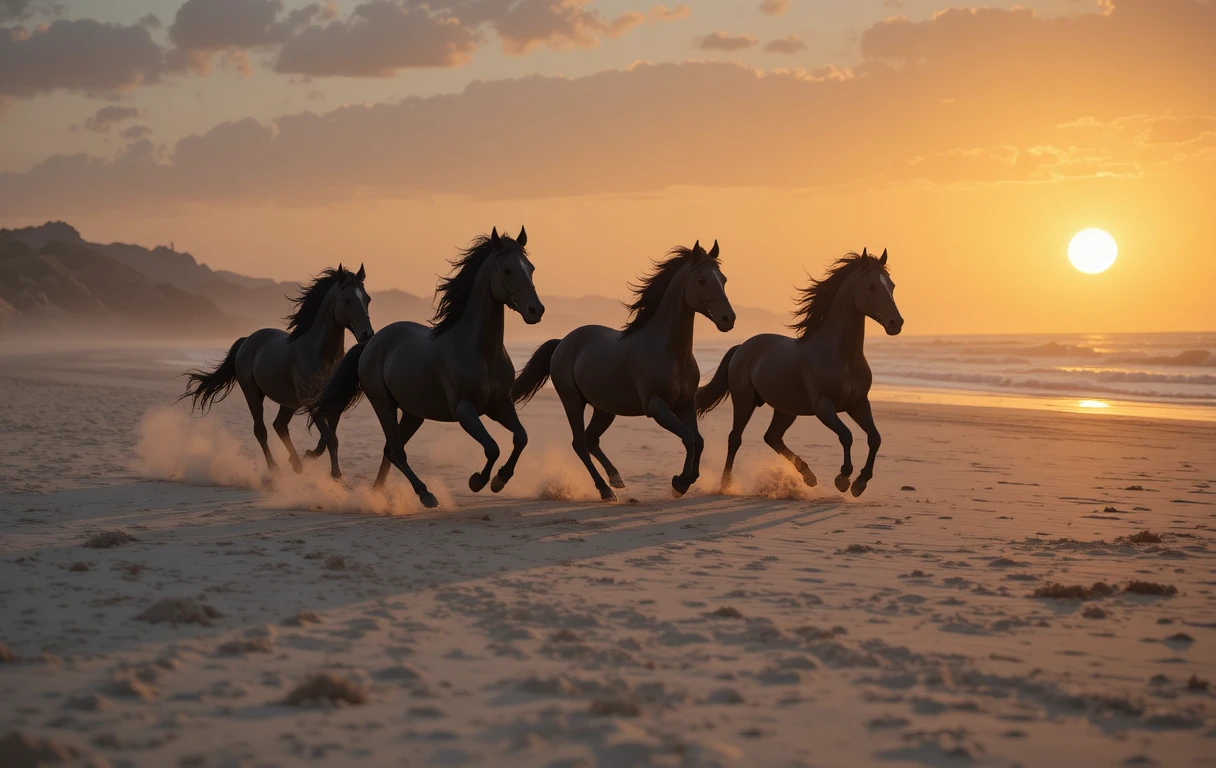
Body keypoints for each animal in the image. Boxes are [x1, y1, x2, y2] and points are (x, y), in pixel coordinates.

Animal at [180, 264, 373, 479]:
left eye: (367, 299)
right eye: (346, 300)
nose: (367, 334)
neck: (319, 354)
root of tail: (247, 340)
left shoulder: (333, 404)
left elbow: (327, 438)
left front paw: (310, 455)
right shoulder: (311, 402)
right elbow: (330, 437)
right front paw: (336, 474)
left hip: (288, 402)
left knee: (279, 425)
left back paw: (296, 463)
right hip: (253, 393)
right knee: (261, 430)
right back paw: (275, 470)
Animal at [308, 227, 542, 508]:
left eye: (530, 268)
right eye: (506, 270)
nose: (536, 310)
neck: (481, 352)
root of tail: (371, 342)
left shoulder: (500, 405)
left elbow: (521, 437)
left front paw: (500, 479)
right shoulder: (464, 410)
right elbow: (492, 447)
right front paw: (478, 481)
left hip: (413, 413)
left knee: (390, 450)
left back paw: (377, 494)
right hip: (383, 403)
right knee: (397, 451)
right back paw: (425, 494)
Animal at [512, 240, 735, 500]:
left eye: (723, 279)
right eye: (701, 280)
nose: (728, 319)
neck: (670, 352)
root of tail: (563, 342)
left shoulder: (686, 403)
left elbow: (698, 440)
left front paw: (685, 481)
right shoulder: (656, 406)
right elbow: (688, 438)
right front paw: (679, 483)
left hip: (605, 408)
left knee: (591, 439)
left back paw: (616, 478)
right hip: (572, 401)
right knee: (579, 443)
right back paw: (606, 490)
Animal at [696, 249, 903, 498]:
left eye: (891, 285)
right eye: (871, 286)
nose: (896, 323)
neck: (842, 356)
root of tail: (743, 347)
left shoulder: (858, 404)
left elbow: (875, 438)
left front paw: (860, 483)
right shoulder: (823, 407)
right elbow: (847, 435)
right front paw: (843, 479)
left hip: (786, 409)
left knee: (772, 437)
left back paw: (809, 477)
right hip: (744, 400)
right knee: (735, 438)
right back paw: (725, 485)